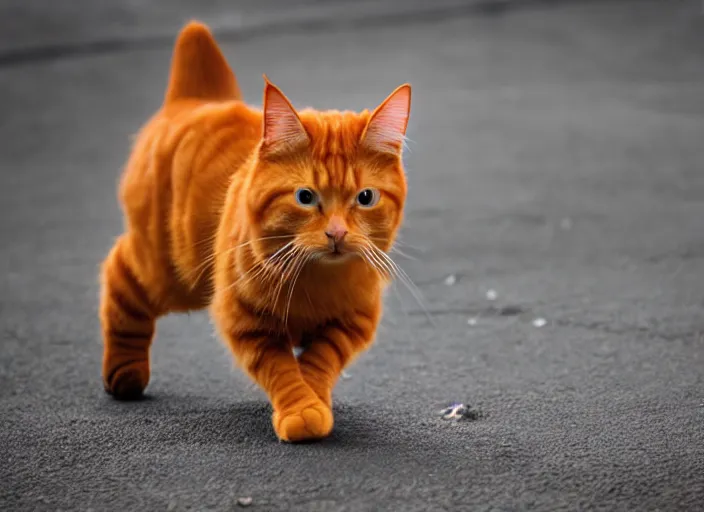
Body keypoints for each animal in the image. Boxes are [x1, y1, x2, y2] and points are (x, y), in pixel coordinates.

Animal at [96, 22, 410, 442]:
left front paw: (314, 400)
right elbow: (282, 371)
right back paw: (124, 373)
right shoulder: (247, 322)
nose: (337, 233)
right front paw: (302, 410)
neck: (315, 282)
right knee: (118, 273)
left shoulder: (350, 322)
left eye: (365, 197)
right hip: (170, 273)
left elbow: (318, 363)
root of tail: (195, 100)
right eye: (305, 197)